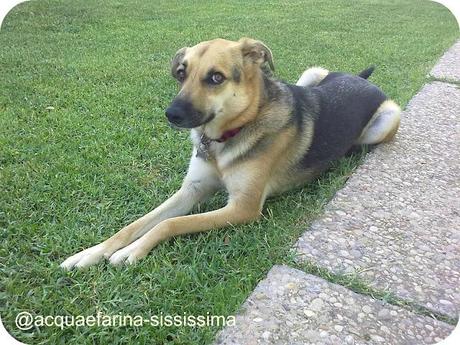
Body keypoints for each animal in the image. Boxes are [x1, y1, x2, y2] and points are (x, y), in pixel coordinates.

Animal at [60, 38, 398, 268]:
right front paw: (92, 252)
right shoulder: (192, 189)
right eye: (181, 73)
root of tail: (360, 79)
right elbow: (137, 223)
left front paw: (133, 250)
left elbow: (170, 224)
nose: (171, 114)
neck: (228, 134)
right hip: (312, 73)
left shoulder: (242, 208)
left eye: (216, 78)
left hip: (389, 119)